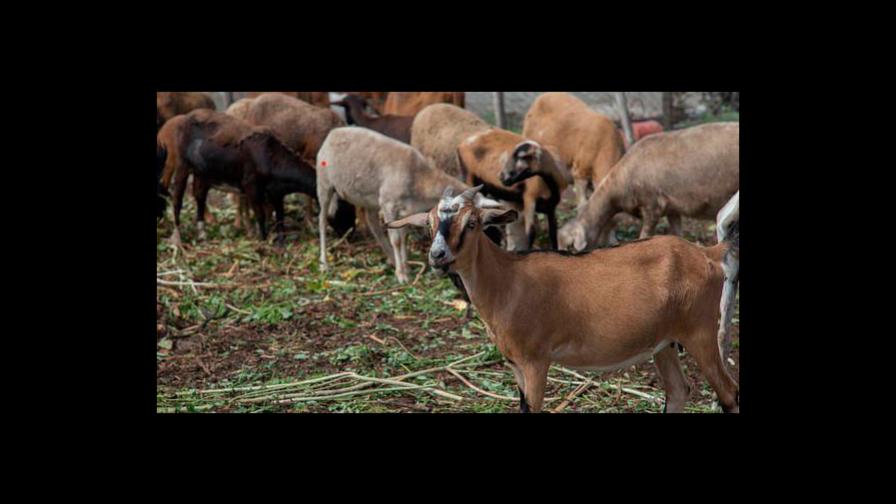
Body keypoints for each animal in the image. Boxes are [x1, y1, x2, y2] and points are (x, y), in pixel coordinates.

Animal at [158, 109, 317, 246]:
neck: (270, 156)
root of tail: (188, 116)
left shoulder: (276, 193)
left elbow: (279, 218)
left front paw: (280, 241)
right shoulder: (251, 186)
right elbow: (260, 215)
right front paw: (263, 240)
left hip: (203, 174)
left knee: (200, 197)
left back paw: (202, 233)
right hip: (182, 166)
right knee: (177, 199)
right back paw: (177, 237)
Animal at [387, 186, 741, 413]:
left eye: (472, 223)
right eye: (430, 224)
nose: (437, 256)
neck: (507, 280)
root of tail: (707, 253)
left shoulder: (535, 360)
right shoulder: (515, 364)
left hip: (699, 332)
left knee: (729, 393)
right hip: (664, 342)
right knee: (679, 391)